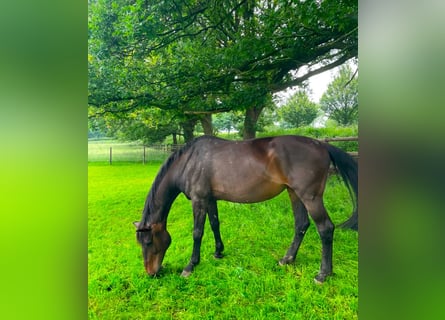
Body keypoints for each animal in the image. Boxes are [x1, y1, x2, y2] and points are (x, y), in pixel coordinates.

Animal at [133, 134, 358, 282]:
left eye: (149, 241)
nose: (151, 273)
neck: (190, 162)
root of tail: (321, 145)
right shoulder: (210, 199)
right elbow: (215, 224)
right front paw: (218, 252)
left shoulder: (199, 200)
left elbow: (197, 232)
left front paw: (190, 266)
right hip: (294, 193)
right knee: (301, 225)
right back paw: (287, 259)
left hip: (310, 197)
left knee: (325, 228)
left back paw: (323, 274)